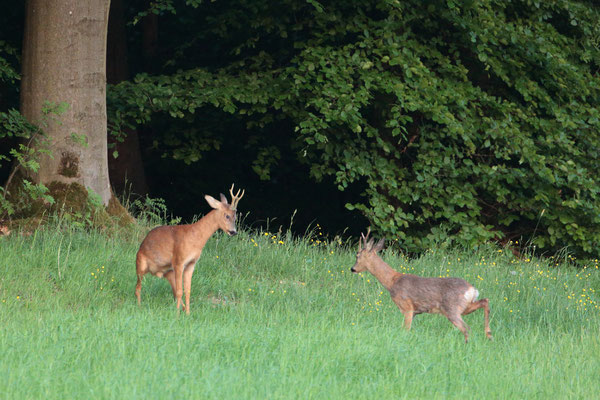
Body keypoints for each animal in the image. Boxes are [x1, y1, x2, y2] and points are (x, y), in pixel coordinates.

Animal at [136, 184, 244, 312]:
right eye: (227, 215)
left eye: (235, 217)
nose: (234, 232)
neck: (195, 239)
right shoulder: (178, 261)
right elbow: (179, 291)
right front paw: (177, 314)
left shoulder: (191, 264)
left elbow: (187, 291)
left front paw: (188, 313)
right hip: (140, 264)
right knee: (138, 287)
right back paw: (139, 306)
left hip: (168, 271)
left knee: (172, 290)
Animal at [352, 230, 492, 342]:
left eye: (357, 255)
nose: (352, 269)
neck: (392, 282)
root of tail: (472, 289)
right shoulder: (415, 312)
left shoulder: (407, 307)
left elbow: (405, 330)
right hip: (465, 307)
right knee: (485, 301)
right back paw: (489, 335)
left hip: (452, 309)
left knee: (466, 328)